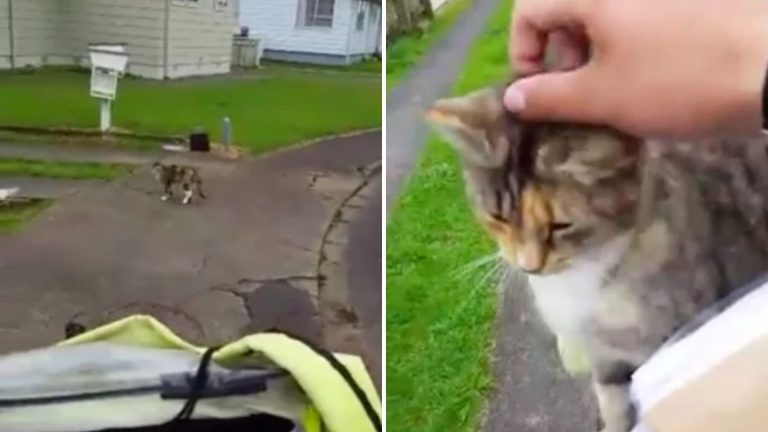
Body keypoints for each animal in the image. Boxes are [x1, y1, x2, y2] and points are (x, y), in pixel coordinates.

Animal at [426, 85, 768, 432]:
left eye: (560, 225)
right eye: (499, 217)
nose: (529, 266)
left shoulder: (666, 338)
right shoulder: (604, 356)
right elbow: (612, 401)